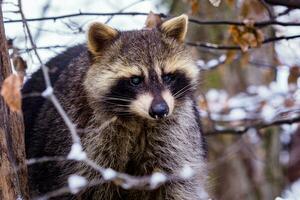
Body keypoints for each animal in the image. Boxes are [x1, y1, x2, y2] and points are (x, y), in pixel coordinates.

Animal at [22, 14, 207, 200]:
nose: (160, 111)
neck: (138, 119)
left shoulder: (176, 137)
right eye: (135, 80)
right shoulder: (78, 135)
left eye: (168, 77)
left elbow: (177, 185)